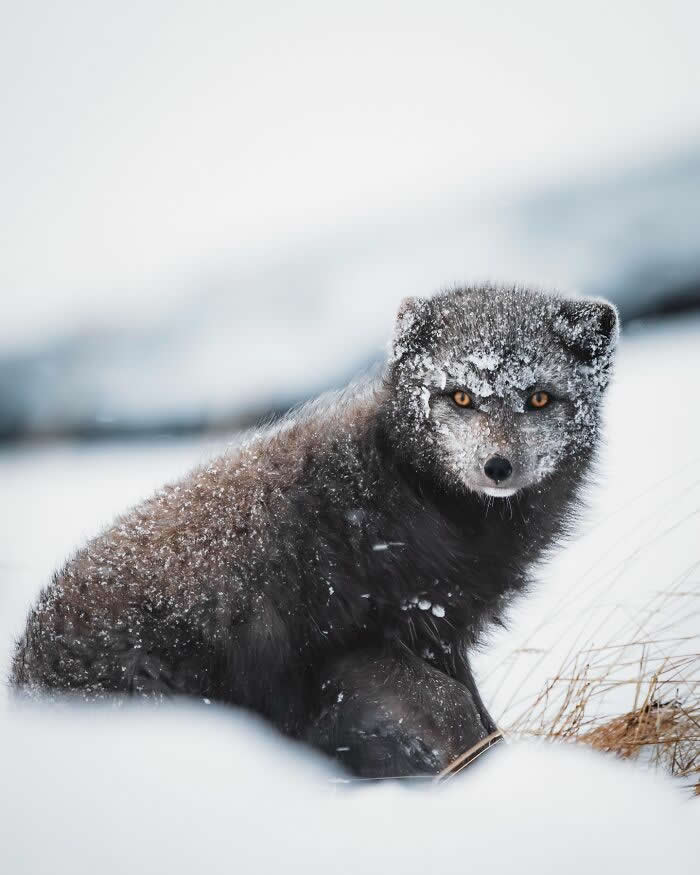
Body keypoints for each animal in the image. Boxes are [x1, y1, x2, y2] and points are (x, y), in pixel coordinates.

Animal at [11, 285, 619, 777]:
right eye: (460, 396)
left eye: (539, 398)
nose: (497, 467)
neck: (404, 492)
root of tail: (23, 676)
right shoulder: (350, 648)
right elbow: (454, 710)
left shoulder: (439, 634)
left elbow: (478, 715)